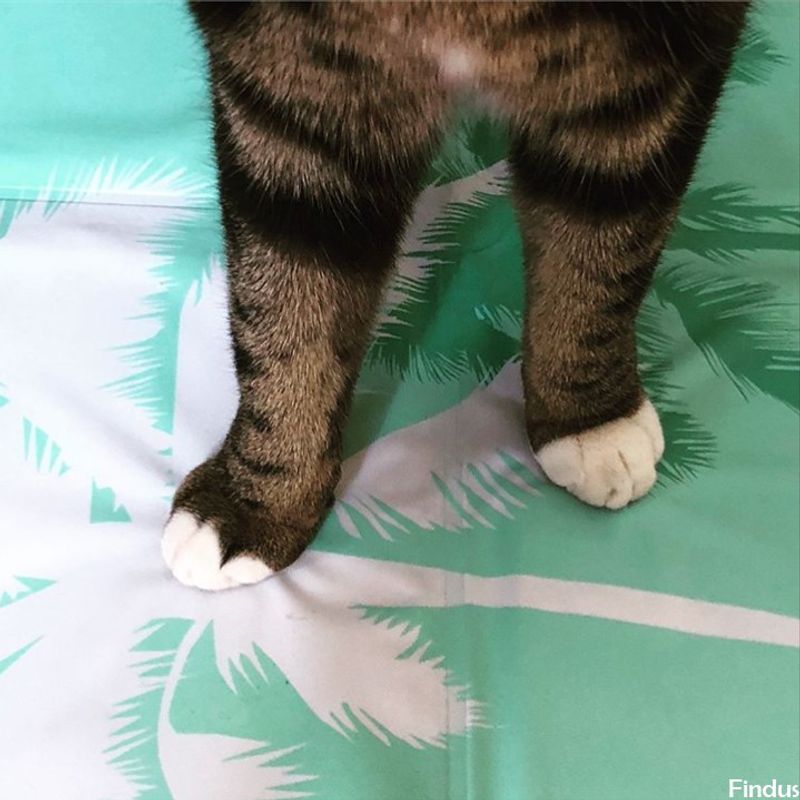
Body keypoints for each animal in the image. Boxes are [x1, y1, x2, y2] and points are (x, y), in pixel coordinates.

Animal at [162, 1, 750, 590]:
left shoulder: (650, 75)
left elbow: (602, 263)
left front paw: (591, 420)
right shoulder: (285, 91)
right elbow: (280, 305)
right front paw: (256, 497)